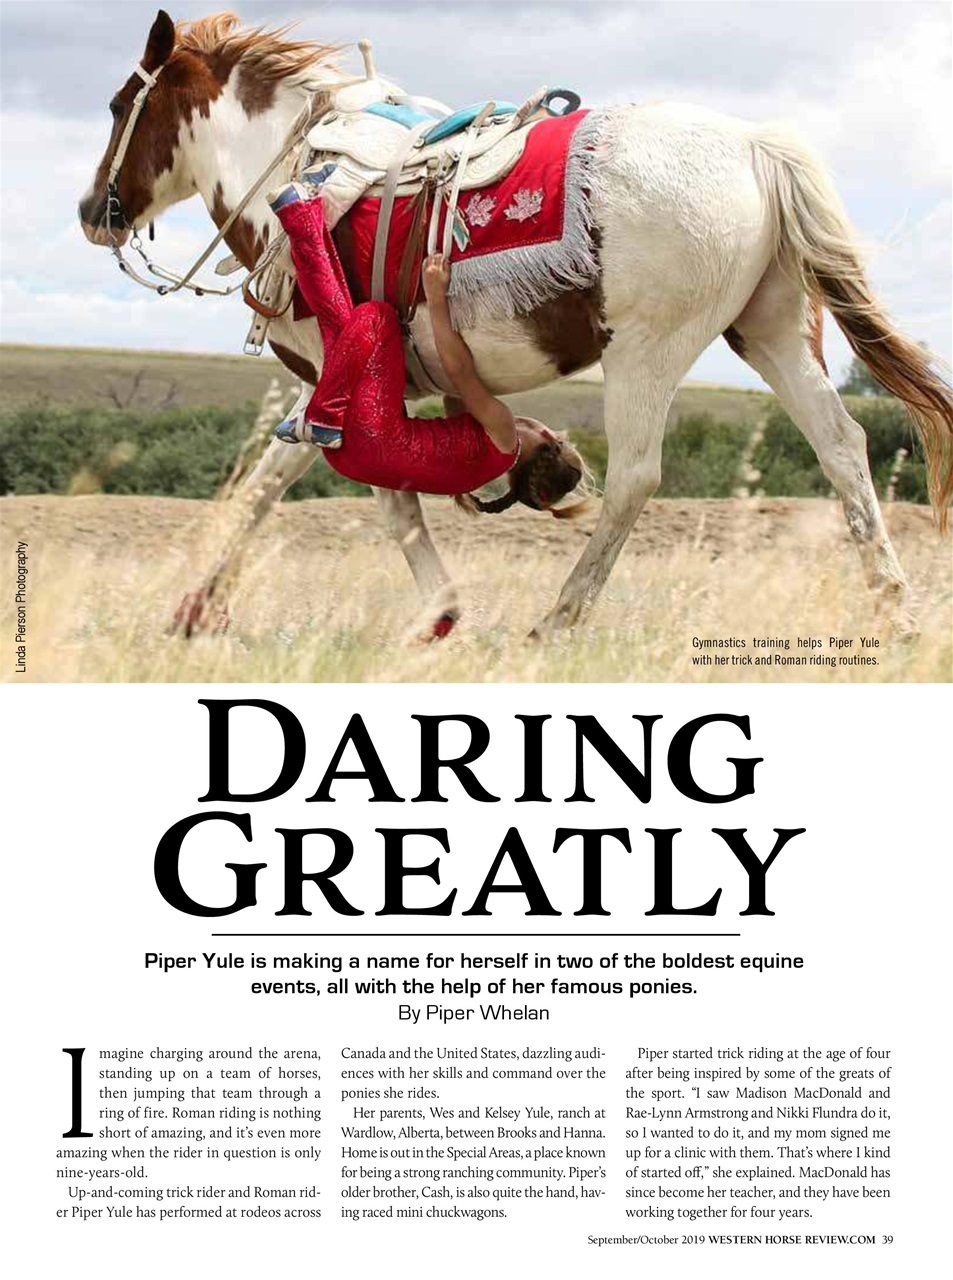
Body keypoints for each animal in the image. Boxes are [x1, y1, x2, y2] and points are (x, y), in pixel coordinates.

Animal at [79, 10, 953, 639]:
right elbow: (270, 483)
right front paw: (193, 610)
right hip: (769, 334)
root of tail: (752, 145)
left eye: (122, 105)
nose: (93, 211)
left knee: (636, 477)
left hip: (645, 349)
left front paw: (440, 612)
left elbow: (363, 491)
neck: (294, 164)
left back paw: (558, 619)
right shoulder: (341, 387)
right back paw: (894, 607)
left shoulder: (339, 379)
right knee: (841, 447)